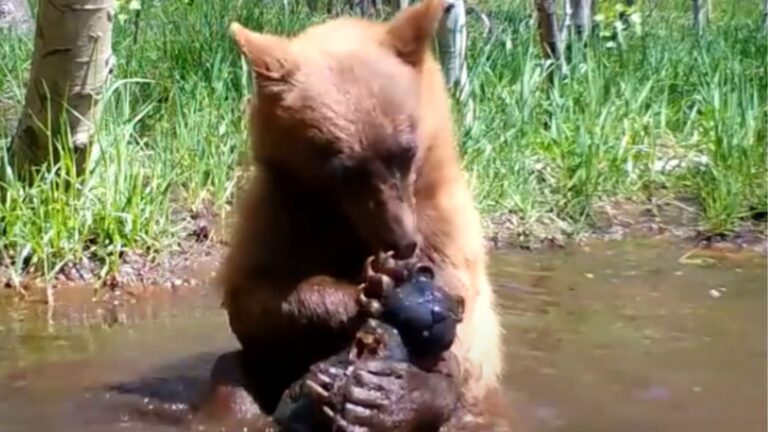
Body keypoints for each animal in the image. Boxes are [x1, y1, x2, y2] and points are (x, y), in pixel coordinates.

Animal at [208, 0, 510, 429]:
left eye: (406, 151)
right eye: (343, 171)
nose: (403, 243)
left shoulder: (444, 222)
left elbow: (462, 331)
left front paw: (396, 393)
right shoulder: (280, 212)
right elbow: (253, 300)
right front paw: (366, 289)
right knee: (232, 377)